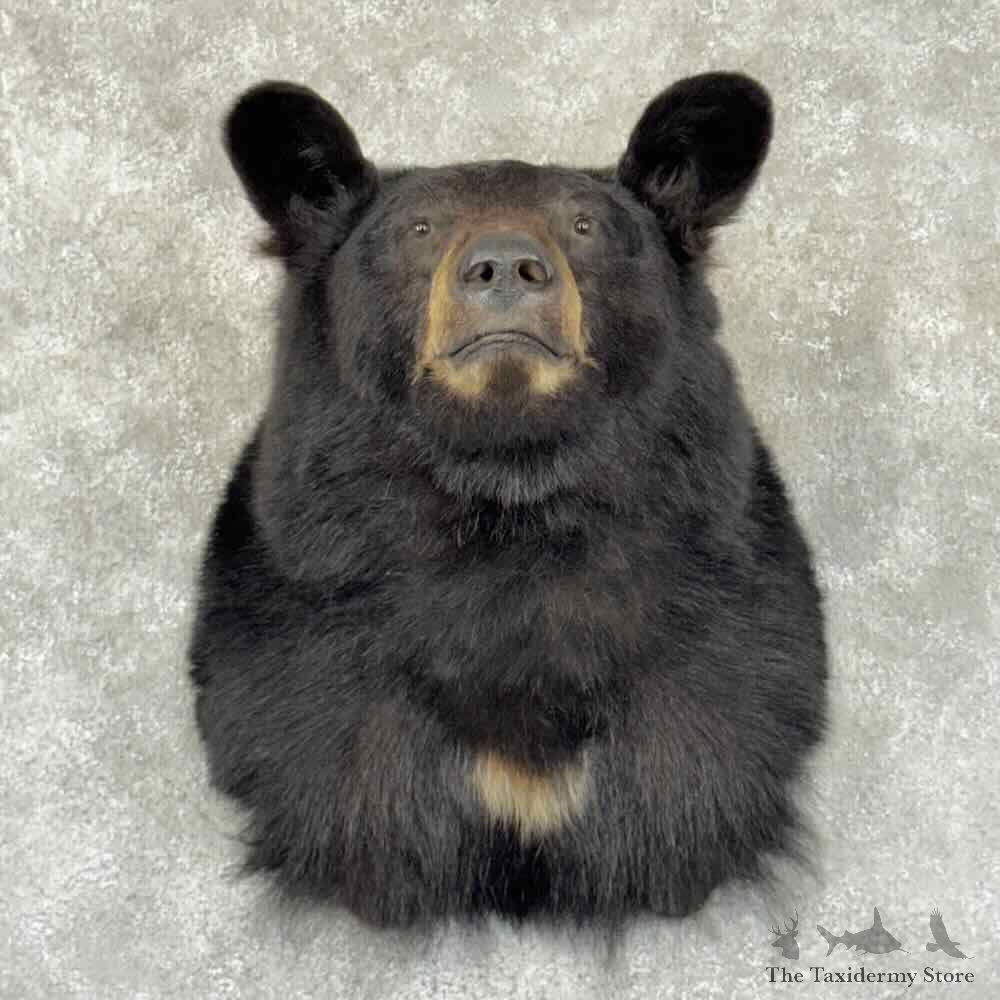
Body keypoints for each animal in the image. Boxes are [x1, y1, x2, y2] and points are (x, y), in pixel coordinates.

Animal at [188, 72, 827, 935]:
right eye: (419, 227)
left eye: (585, 225)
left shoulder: (729, 625)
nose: (504, 265)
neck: (509, 497)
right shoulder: (296, 638)